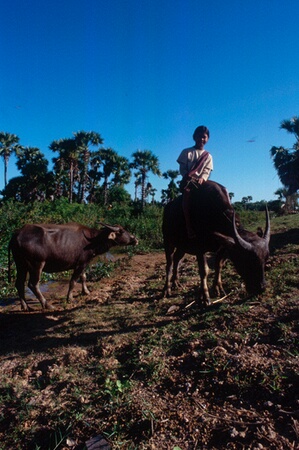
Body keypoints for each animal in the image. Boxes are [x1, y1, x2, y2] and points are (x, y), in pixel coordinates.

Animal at [7, 223, 137, 312]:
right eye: (122, 231)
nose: (135, 239)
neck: (92, 240)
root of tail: (16, 235)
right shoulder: (80, 264)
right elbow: (73, 281)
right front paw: (70, 298)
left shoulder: (84, 263)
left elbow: (83, 277)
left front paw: (86, 292)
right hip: (36, 264)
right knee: (33, 284)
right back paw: (47, 304)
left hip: (21, 264)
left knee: (19, 283)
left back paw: (25, 306)